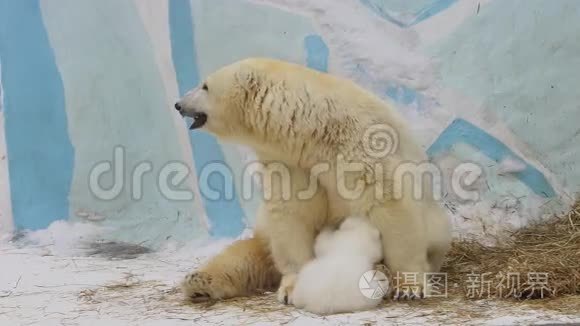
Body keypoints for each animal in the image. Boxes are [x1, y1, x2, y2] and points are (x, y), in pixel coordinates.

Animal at [174, 57, 450, 304]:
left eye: (205, 86)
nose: (178, 104)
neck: (316, 130)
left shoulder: (363, 143)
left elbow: (390, 205)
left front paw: (410, 286)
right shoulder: (290, 163)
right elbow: (291, 215)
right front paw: (292, 287)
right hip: (263, 235)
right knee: (246, 255)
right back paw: (199, 282)